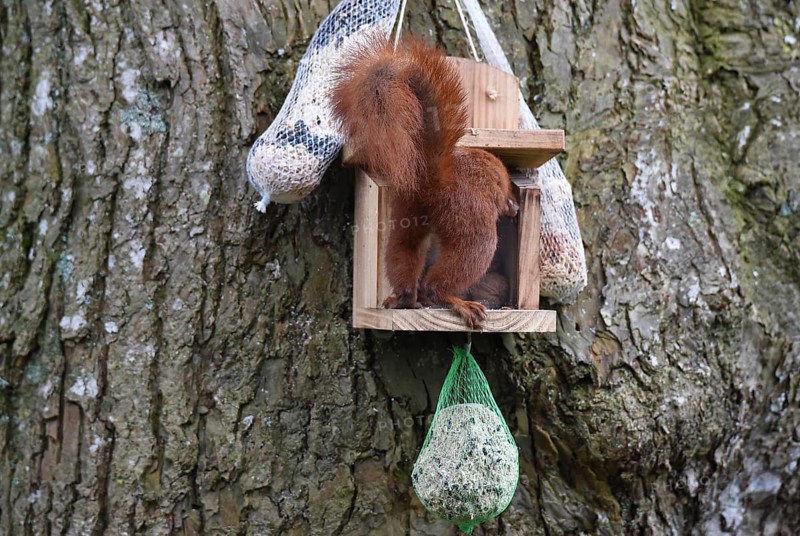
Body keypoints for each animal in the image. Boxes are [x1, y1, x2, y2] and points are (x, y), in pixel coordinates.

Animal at [331, 36, 518, 328]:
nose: (515, 208)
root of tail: (436, 180)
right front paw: (511, 206)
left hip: (410, 215)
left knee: (404, 251)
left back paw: (405, 298)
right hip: (472, 224)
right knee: (446, 276)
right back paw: (456, 301)